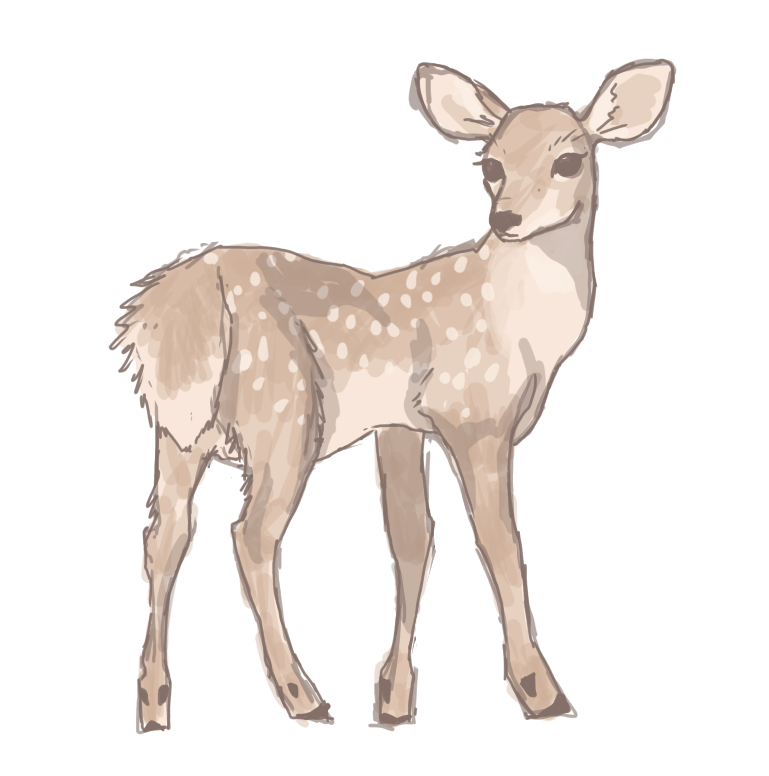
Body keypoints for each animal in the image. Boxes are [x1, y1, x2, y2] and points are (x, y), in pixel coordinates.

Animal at [112, 60, 675, 732]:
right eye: (491, 166)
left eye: (569, 161)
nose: (507, 220)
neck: (519, 328)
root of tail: (174, 309)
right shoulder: (474, 414)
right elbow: (500, 546)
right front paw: (541, 694)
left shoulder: (401, 426)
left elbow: (411, 546)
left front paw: (393, 700)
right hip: (286, 412)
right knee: (250, 537)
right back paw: (303, 697)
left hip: (177, 431)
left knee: (165, 538)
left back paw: (153, 704)